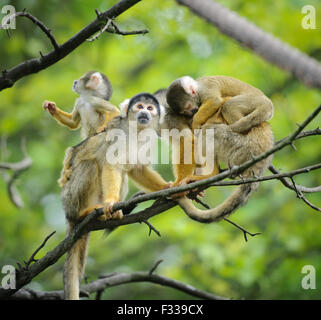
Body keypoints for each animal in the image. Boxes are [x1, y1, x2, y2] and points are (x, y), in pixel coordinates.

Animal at [61, 92, 169, 300]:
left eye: (150, 108)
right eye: (140, 106)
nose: (144, 113)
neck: (135, 131)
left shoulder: (149, 137)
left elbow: (138, 169)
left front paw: (170, 187)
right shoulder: (118, 132)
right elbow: (111, 165)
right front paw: (111, 202)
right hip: (69, 198)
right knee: (91, 164)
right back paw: (84, 212)